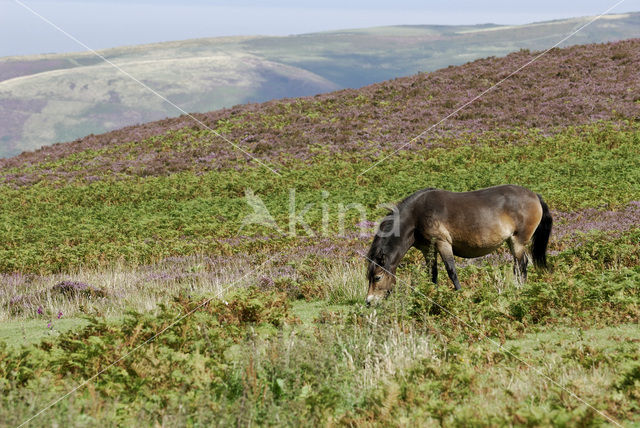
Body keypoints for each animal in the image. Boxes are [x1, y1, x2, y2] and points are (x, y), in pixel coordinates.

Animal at [368, 184, 552, 304]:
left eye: (377, 277)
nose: (369, 302)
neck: (416, 215)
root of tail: (535, 196)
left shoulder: (443, 243)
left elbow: (451, 271)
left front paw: (460, 294)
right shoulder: (428, 249)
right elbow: (432, 273)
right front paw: (432, 294)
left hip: (517, 241)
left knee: (521, 265)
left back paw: (520, 289)